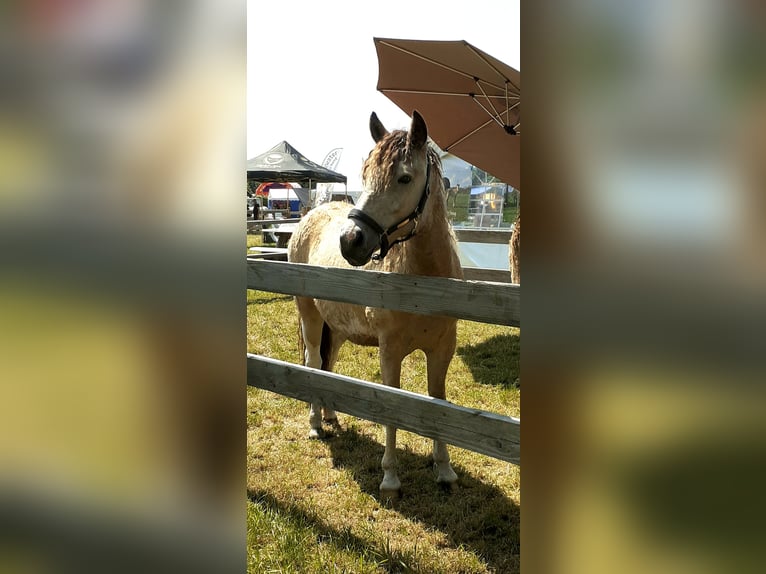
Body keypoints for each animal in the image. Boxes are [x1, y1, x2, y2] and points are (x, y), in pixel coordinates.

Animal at [287, 110, 463, 498]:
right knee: (313, 362)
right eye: (365, 174)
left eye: (405, 177)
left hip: (336, 326)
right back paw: (315, 424)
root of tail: (310, 215)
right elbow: (392, 406)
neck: (424, 282)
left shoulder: (443, 349)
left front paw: (444, 470)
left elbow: (438, 401)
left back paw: (331, 416)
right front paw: (390, 478)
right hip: (309, 315)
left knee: (328, 364)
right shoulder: (390, 350)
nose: (351, 241)